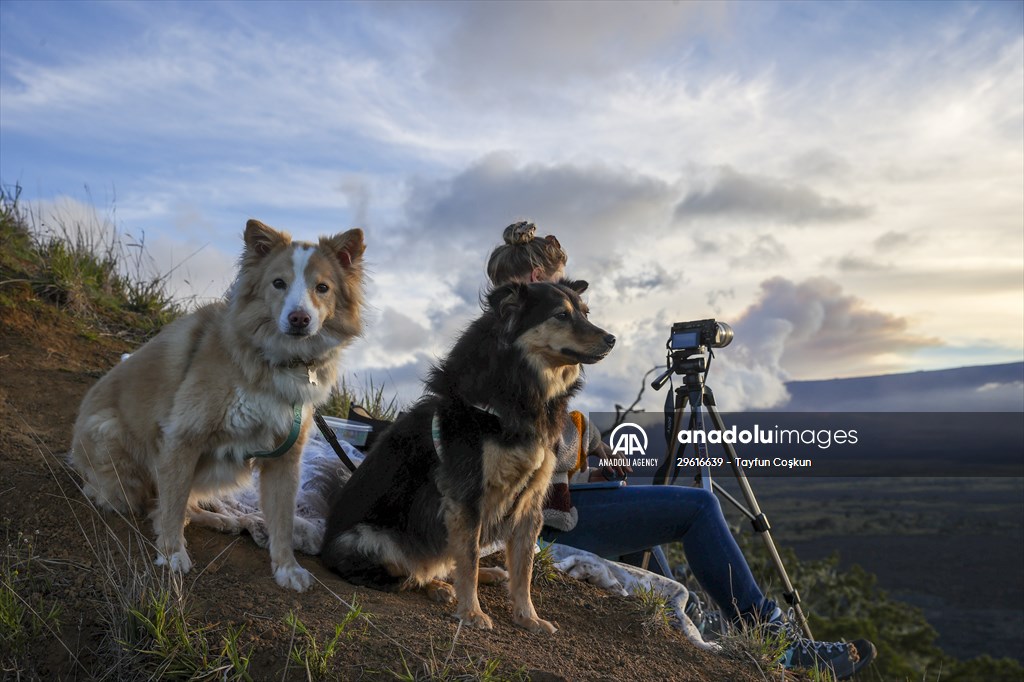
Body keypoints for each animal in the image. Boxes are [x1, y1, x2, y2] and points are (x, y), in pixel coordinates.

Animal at [319, 278, 610, 630]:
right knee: (414, 570)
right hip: (373, 540)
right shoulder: (467, 495)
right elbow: (468, 559)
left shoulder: (530, 502)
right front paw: (472, 612)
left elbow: (523, 569)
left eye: (585, 313)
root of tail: (323, 549)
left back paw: (485, 574)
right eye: (561, 315)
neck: (521, 389)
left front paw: (529, 617)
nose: (612, 339)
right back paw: (440, 586)